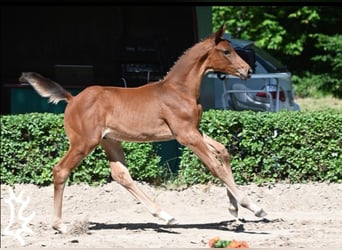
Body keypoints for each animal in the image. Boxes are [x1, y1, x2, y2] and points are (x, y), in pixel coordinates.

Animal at [19, 24, 268, 232]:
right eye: (226, 51)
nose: (248, 71)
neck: (180, 90)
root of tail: (72, 99)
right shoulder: (186, 135)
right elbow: (215, 166)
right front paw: (253, 206)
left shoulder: (193, 131)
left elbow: (223, 151)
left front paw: (234, 210)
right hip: (84, 143)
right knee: (61, 170)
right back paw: (60, 225)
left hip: (110, 141)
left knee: (121, 174)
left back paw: (165, 216)